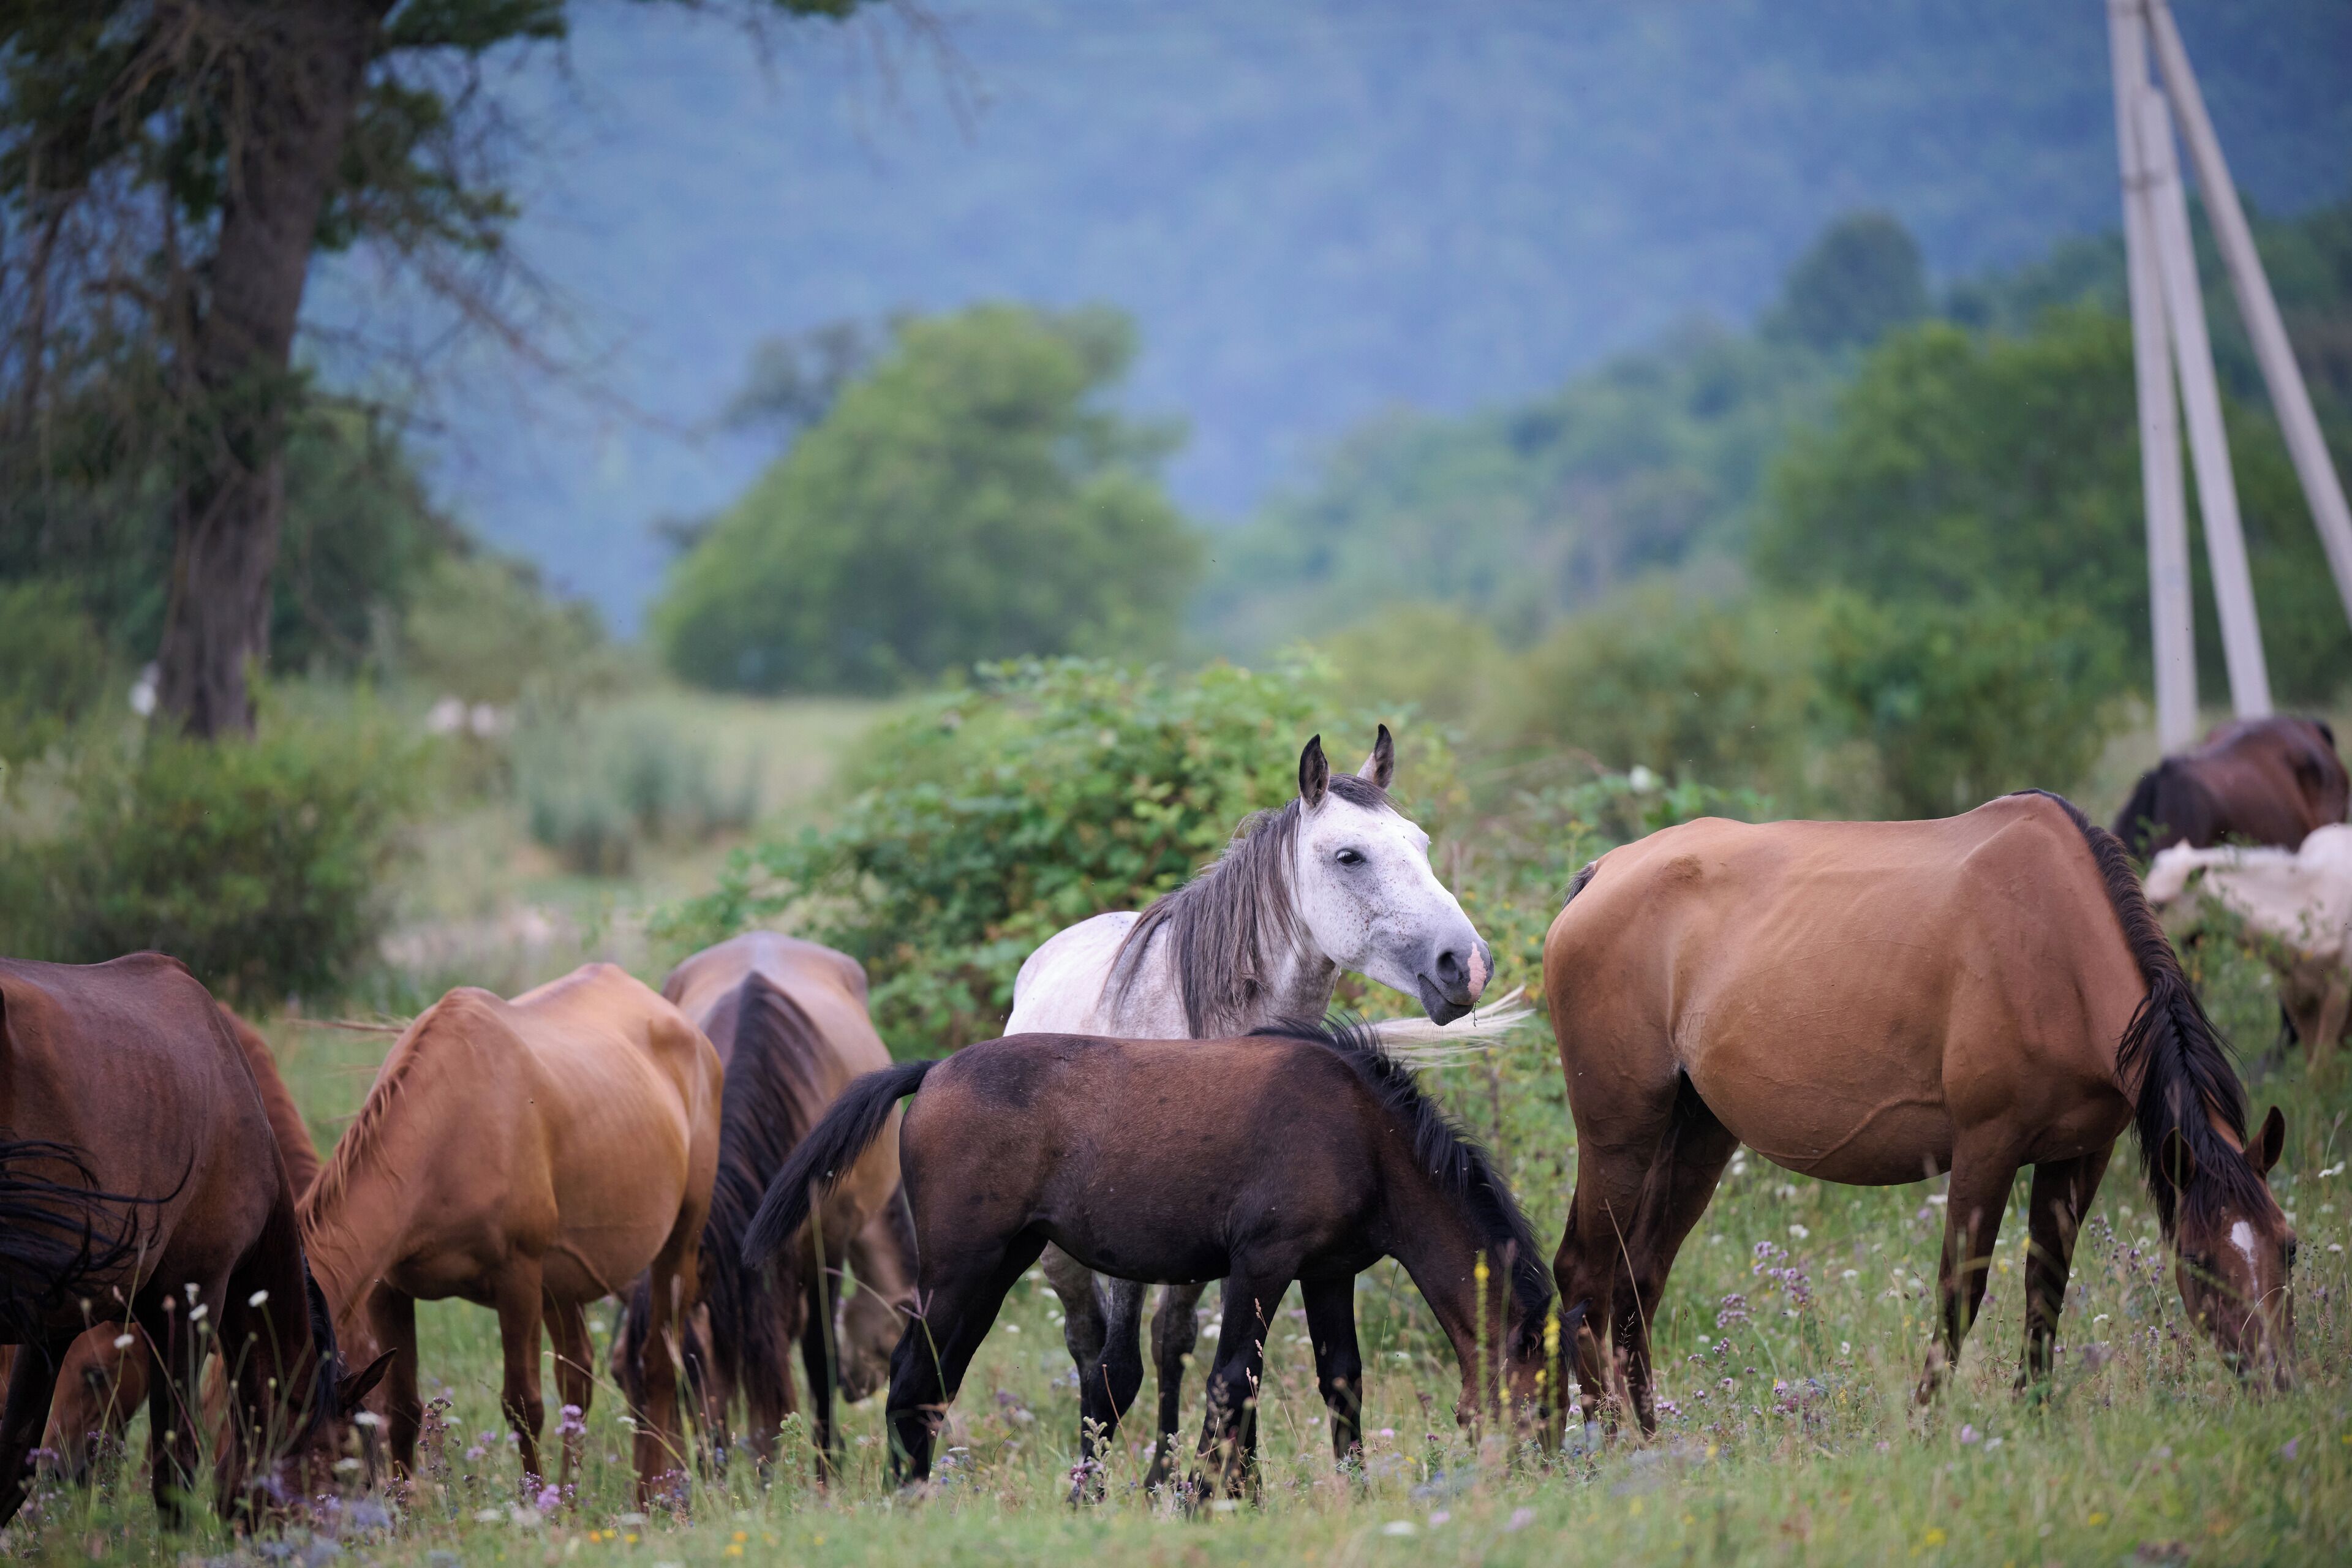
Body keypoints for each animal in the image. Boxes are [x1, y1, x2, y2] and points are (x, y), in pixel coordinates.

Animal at [297, 963, 720, 1503]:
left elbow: (524, 1406)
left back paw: (647, 1500)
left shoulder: (517, 1278)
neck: (445, 1130)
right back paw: (571, 1500)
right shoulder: (387, 1288)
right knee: (577, 1376)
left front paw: (535, 1509)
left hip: (678, 1244)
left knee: (658, 1364)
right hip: (562, 1279)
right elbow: (404, 1408)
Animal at [614, 932, 916, 1478]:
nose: (668, 1482)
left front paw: (825, 1464)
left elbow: (818, 1353)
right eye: (618, 1376)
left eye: (690, 1373)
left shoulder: (826, 1246)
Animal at [740, 1019, 1560, 1496]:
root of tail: (934, 1070)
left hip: (998, 1263)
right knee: (915, 1375)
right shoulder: (1262, 1264)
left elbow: (1339, 1384)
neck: (1362, 1132)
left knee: (932, 1376)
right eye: (1541, 1395)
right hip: (963, 1268)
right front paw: (1205, 1497)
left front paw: (1340, 1493)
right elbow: (1232, 1381)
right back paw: (903, 1496)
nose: (1550, 1471)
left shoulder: (1327, 1274)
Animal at [1003, 728, 1511, 1484]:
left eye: (1420, 844)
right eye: (1349, 856)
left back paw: (1159, 1476)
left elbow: (1224, 1365)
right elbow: (1118, 1366)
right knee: (1090, 1346)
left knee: (1172, 1341)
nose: (1467, 965)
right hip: (1067, 1258)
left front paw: (1210, 1482)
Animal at [1544, 791, 2293, 1436]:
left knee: (1639, 1278)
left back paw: (1652, 1440)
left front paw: (2033, 1415)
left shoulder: (2078, 1154)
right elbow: (1961, 1292)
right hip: (1619, 1134)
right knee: (1584, 1272)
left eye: (2288, 1244)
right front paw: (1927, 1424)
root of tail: (1603, 873)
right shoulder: (1987, 1146)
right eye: (2197, 1258)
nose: (2275, 1385)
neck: (2055, 940)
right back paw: (1605, 1439)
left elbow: (2045, 1284)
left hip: (1698, 1131)